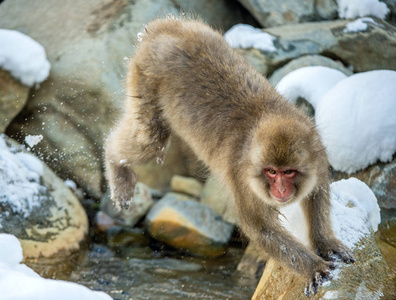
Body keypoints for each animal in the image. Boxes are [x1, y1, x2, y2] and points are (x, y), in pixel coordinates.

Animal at [103, 17, 354, 296]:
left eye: (288, 172)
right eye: (271, 171)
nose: (280, 190)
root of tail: (167, 27)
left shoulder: (318, 155)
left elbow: (316, 194)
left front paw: (325, 242)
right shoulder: (242, 179)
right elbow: (261, 228)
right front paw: (312, 267)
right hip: (145, 76)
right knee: (149, 141)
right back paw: (115, 165)